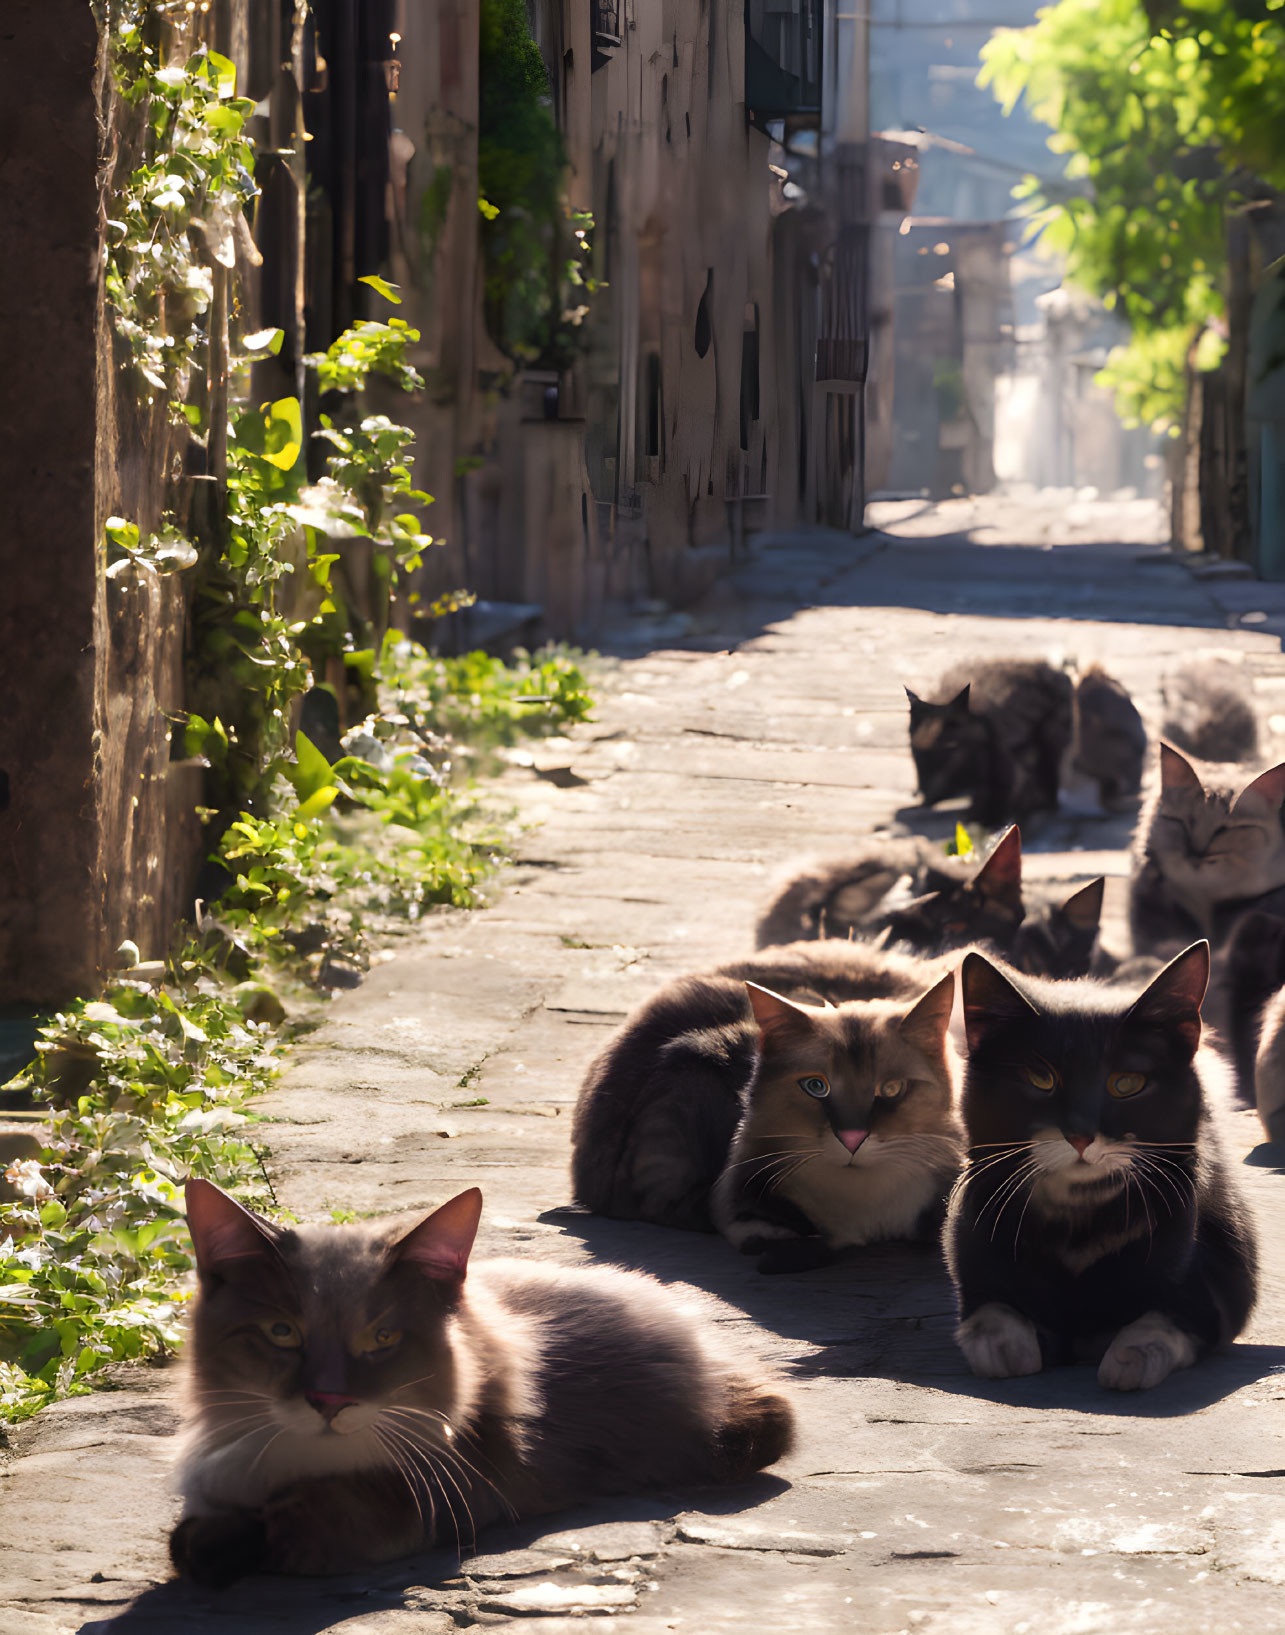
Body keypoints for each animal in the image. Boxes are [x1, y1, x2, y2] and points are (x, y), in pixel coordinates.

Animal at [170, 1177, 791, 1582]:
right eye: (281, 1332)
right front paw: (219, 1542)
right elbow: (196, 1533)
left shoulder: (467, 1478)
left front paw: (280, 1534)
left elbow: (345, 1512)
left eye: (383, 1338)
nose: (328, 1400)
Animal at [941, 948, 1249, 1393]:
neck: (1079, 1217)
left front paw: (1124, 1356)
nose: (1081, 1135)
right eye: (1041, 1079)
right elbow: (996, 1324)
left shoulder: (1217, 1291)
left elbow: (1158, 1322)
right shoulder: (976, 1264)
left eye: (1127, 1083)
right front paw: (1013, 1347)